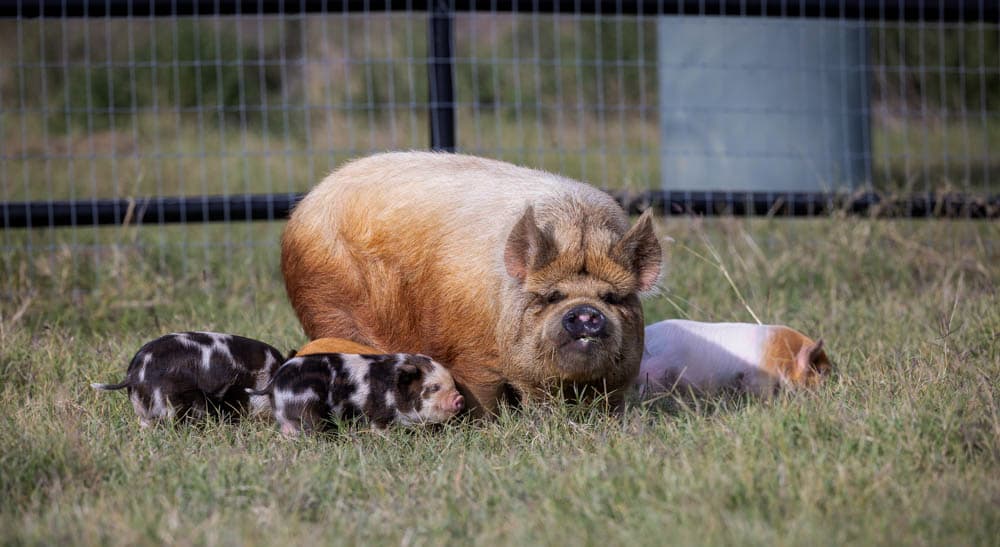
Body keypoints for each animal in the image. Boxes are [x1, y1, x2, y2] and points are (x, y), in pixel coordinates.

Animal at [248, 352, 465, 434]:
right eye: (434, 387)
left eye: (453, 383)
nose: (460, 398)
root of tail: (275, 382)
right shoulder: (378, 414)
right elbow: (380, 428)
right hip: (306, 410)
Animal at [281, 152, 662, 414]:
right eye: (550, 296)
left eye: (612, 297)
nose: (585, 312)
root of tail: (305, 206)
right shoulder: (471, 355)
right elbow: (484, 397)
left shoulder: (619, 380)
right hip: (325, 303)